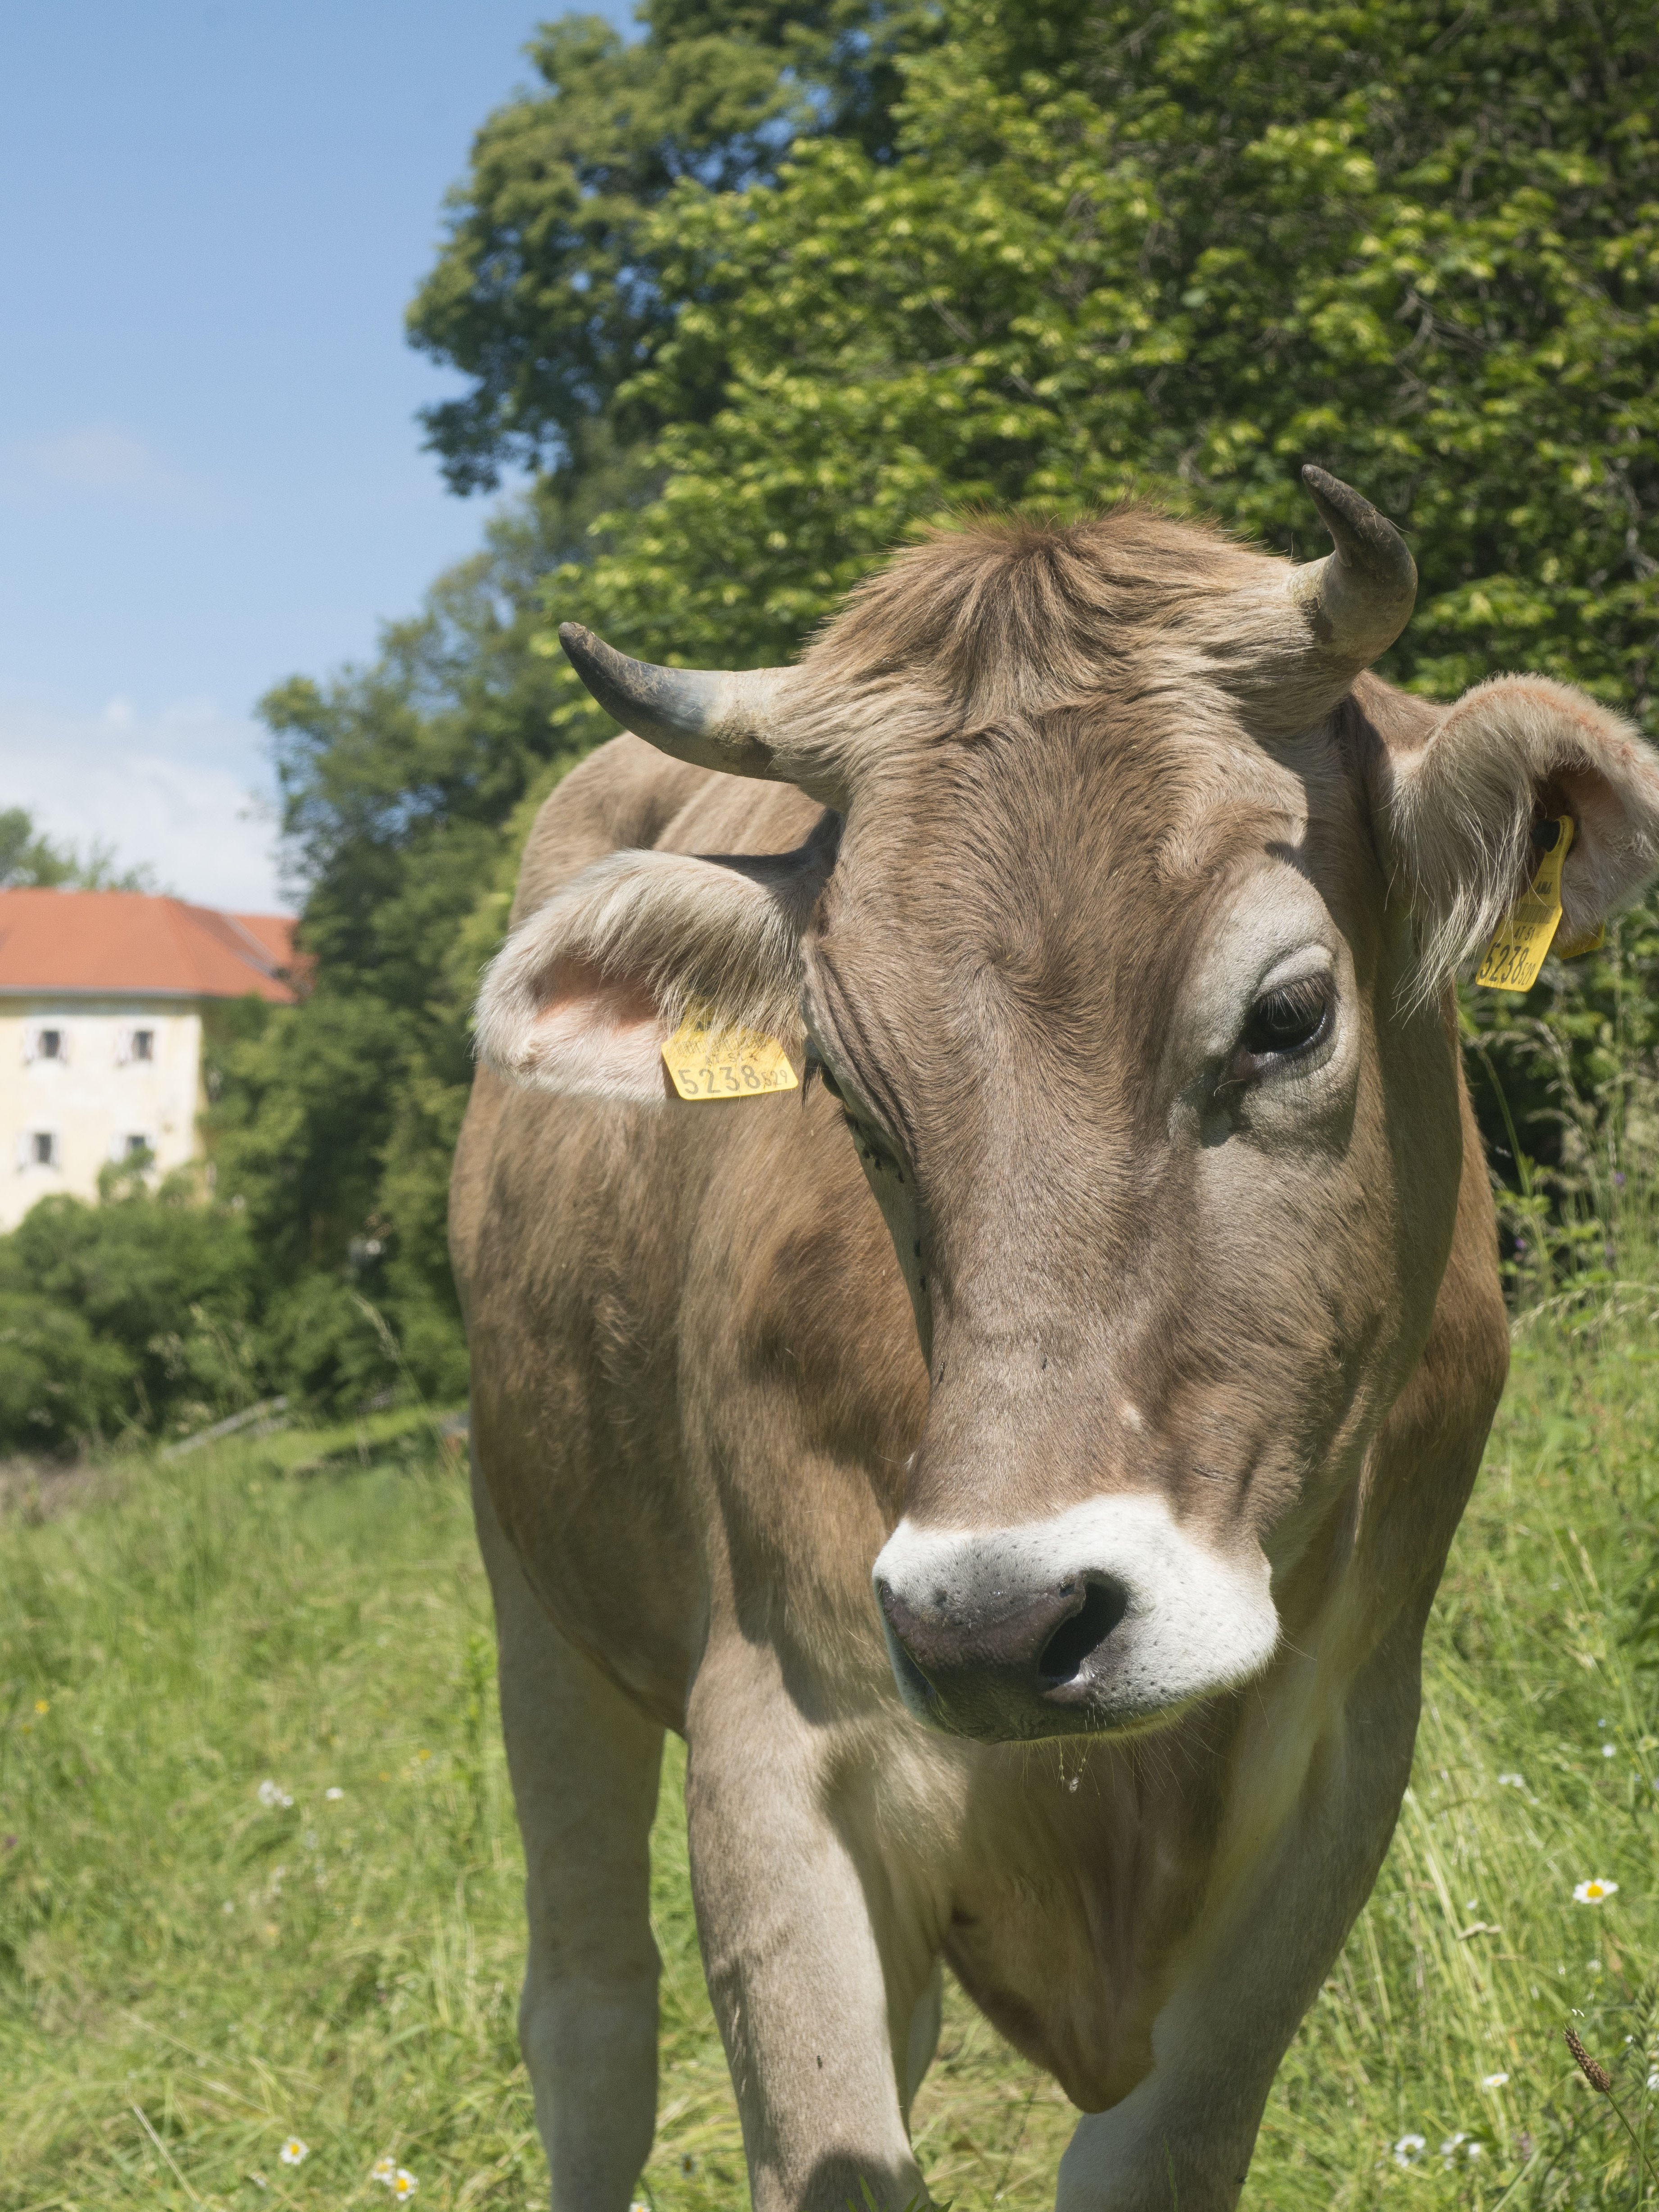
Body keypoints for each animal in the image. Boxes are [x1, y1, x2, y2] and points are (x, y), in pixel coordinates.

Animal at [449, 469, 1659, 2212]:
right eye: (842, 1088)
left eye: (1288, 1017)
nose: (992, 1625)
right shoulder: (772, 1741)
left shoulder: (1345, 1761)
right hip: (532, 1581)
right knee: (590, 2022)